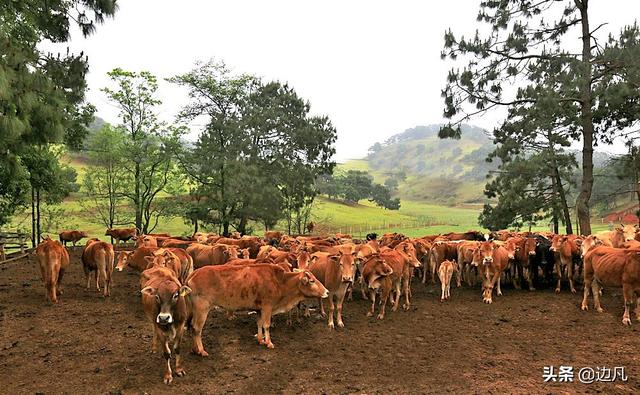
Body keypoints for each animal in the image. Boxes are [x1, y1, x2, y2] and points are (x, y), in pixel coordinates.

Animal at [185, 266, 324, 352]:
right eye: (312, 281)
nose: (326, 291)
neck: (280, 282)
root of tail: (193, 274)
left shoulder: (259, 309)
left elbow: (259, 323)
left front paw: (260, 339)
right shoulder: (267, 307)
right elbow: (266, 325)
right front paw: (269, 342)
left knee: (191, 326)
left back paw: (193, 349)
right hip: (202, 309)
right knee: (197, 328)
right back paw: (201, 350)